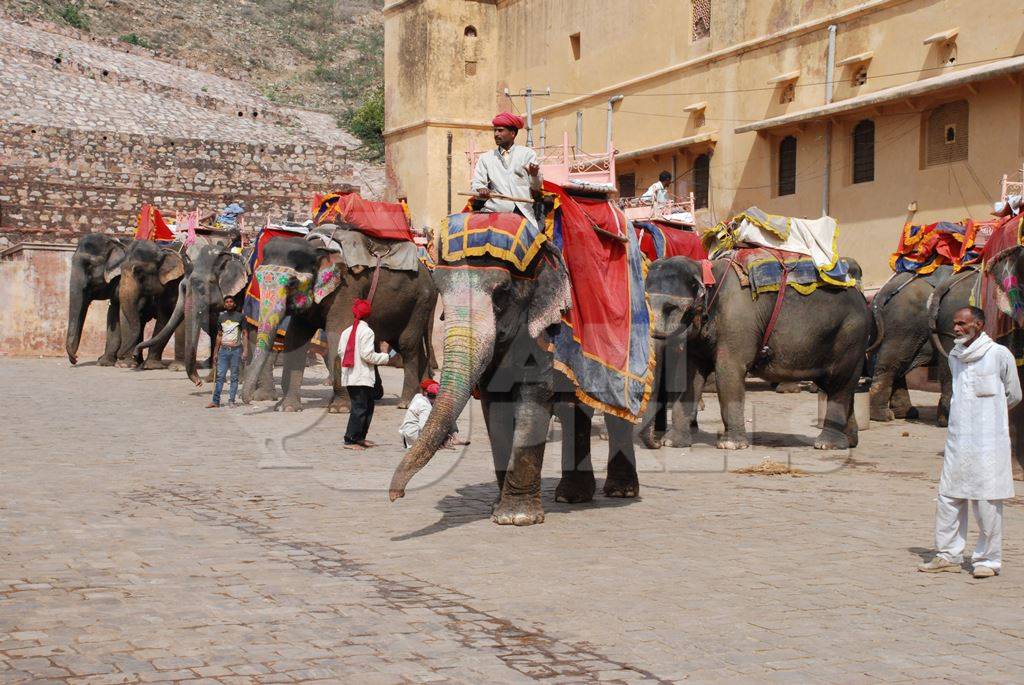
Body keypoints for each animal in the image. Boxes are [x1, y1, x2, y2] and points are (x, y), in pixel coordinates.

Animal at [113, 239, 189, 368]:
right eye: (121, 269)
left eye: (139, 272)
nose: (119, 355)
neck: (162, 250)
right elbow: (164, 317)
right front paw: (128, 365)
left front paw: (176, 367)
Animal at [241, 227, 438, 413]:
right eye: (257, 279)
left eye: (292, 283)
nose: (247, 400)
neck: (318, 250)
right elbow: (295, 338)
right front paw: (287, 407)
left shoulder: (346, 289)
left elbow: (338, 333)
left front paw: (340, 408)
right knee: (405, 344)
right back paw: (422, 395)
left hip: (421, 301)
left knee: (407, 344)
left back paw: (406, 402)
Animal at [643, 254, 868, 448]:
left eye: (671, 308)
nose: (656, 442)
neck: (706, 269)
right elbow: (690, 375)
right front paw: (672, 442)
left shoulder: (737, 321)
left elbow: (728, 371)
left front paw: (730, 445)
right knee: (838, 386)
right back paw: (850, 442)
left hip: (851, 335)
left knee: (840, 383)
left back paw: (827, 444)